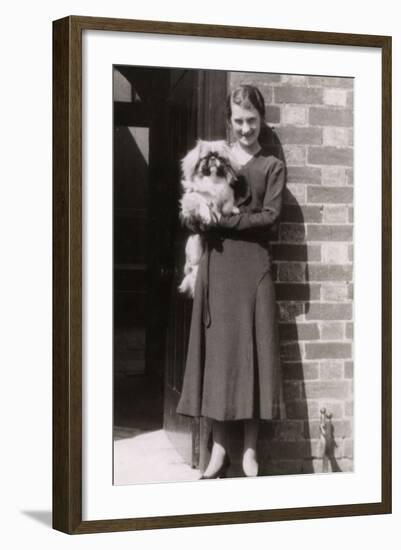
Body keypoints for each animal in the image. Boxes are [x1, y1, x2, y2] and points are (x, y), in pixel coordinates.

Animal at [177, 140, 239, 300]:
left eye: (219, 157)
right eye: (205, 157)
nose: (212, 158)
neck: (213, 181)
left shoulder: (226, 194)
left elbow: (227, 204)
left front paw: (233, 209)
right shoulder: (190, 199)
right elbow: (203, 203)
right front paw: (207, 215)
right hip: (194, 247)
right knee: (192, 268)